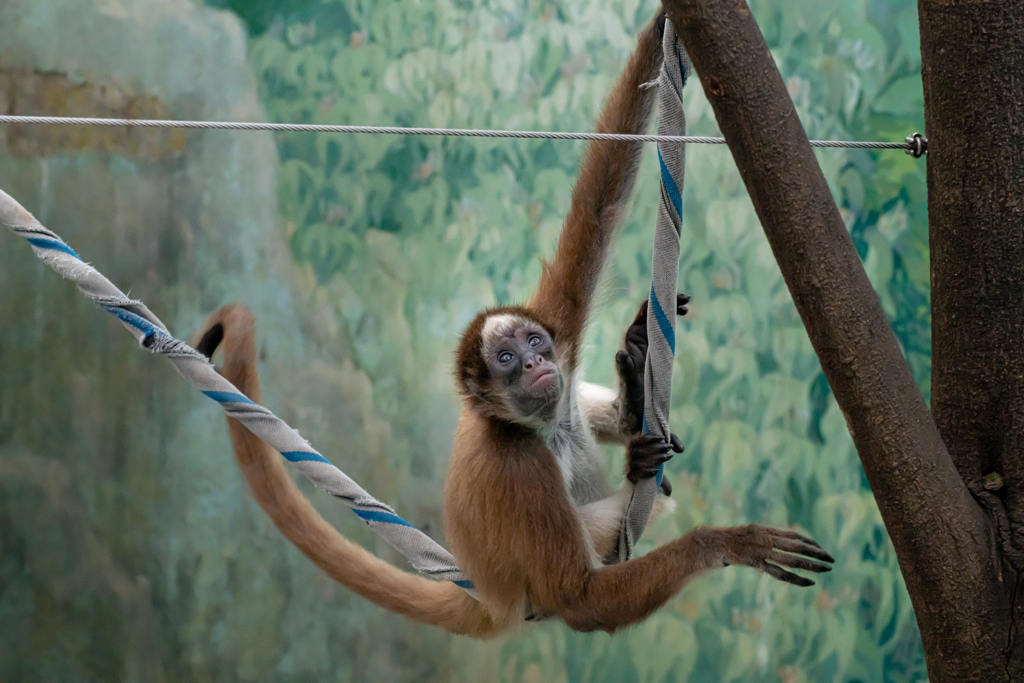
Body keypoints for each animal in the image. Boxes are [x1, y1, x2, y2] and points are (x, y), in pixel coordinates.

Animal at [193, 10, 831, 638]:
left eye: (532, 343)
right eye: (506, 361)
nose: (533, 362)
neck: (533, 426)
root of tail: (486, 594)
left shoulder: (559, 328)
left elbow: (599, 206)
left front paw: (664, 25)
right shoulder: (518, 466)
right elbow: (581, 602)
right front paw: (729, 543)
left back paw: (633, 385)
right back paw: (638, 464)